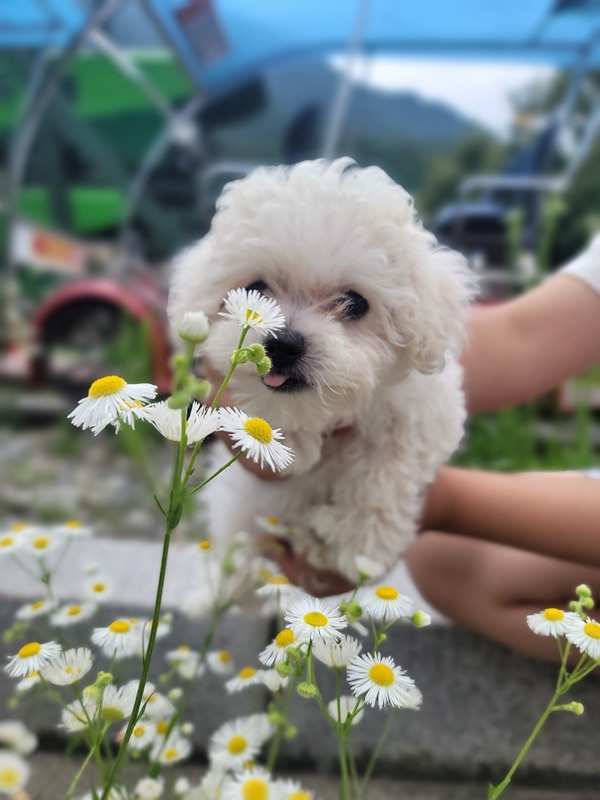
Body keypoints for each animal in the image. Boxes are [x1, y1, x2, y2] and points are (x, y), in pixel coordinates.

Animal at [169, 158, 478, 580]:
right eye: (257, 288)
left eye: (354, 302)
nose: (282, 344)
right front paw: (297, 443)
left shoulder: (422, 411)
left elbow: (386, 471)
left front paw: (360, 545)